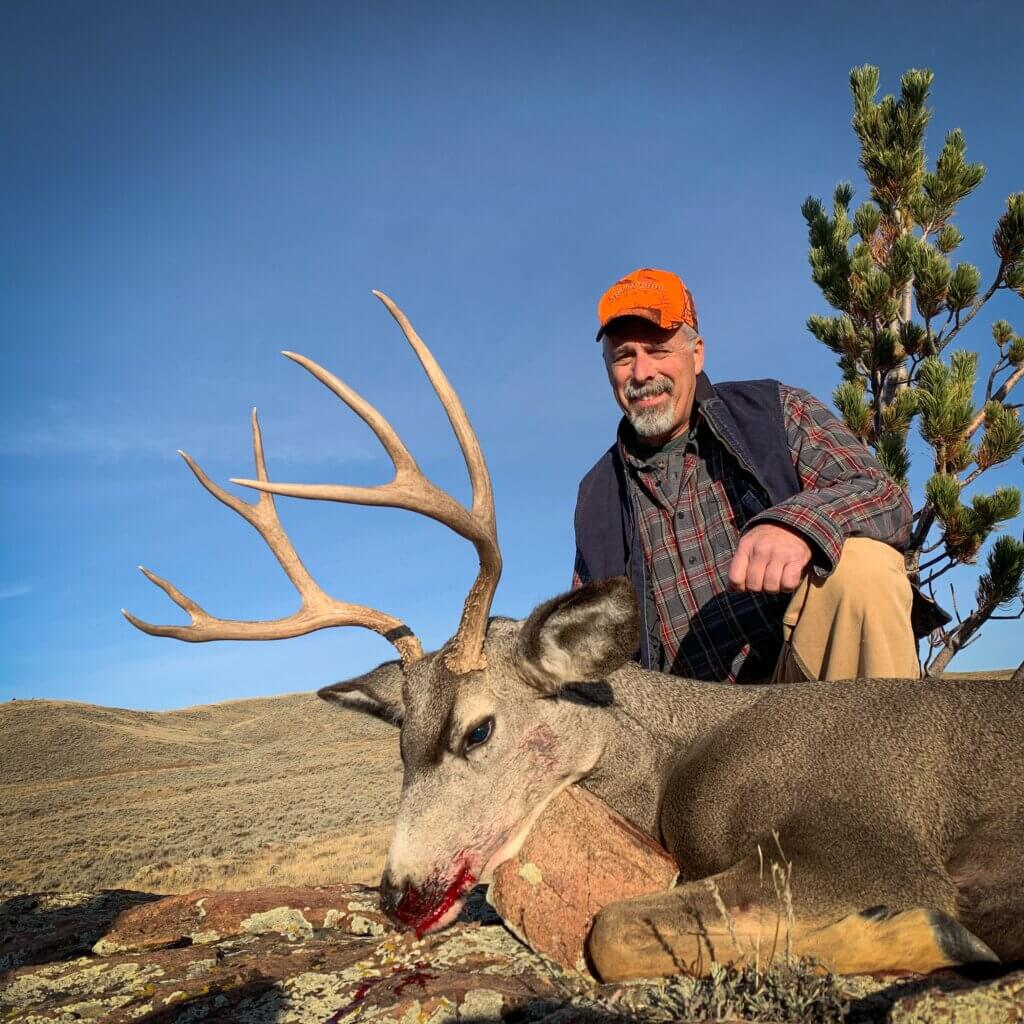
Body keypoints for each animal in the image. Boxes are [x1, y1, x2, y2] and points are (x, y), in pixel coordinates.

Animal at [125, 292, 1024, 982]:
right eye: (398, 744)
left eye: (478, 729)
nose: (399, 895)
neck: (678, 757)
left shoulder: (869, 838)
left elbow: (612, 930)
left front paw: (941, 935)